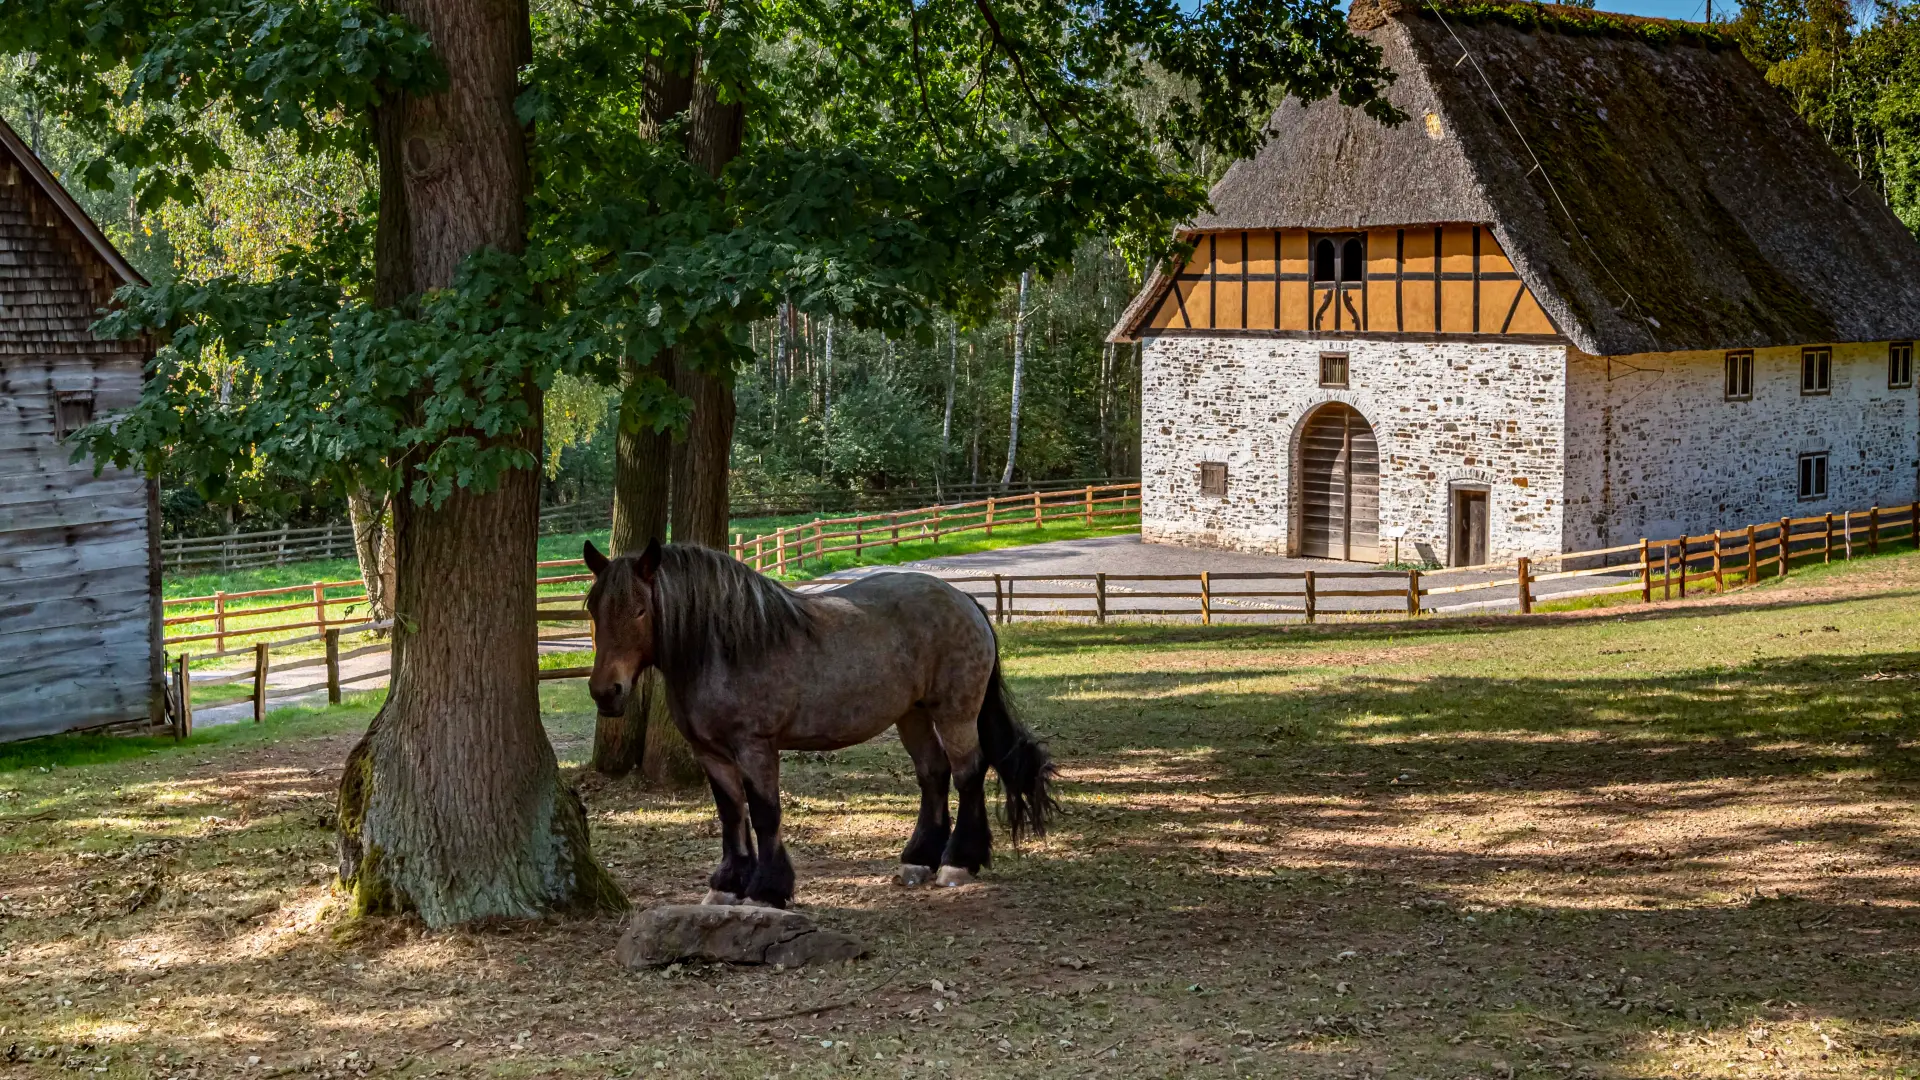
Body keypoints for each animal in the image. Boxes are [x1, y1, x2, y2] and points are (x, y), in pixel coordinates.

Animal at [582, 539, 1057, 909]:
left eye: (640, 610)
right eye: (593, 610)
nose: (607, 692)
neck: (722, 649)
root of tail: (966, 601)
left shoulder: (756, 748)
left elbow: (765, 814)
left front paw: (767, 889)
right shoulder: (711, 754)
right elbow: (732, 814)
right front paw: (728, 885)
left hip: (954, 712)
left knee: (968, 772)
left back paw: (958, 862)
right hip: (913, 714)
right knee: (933, 775)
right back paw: (919, 858)